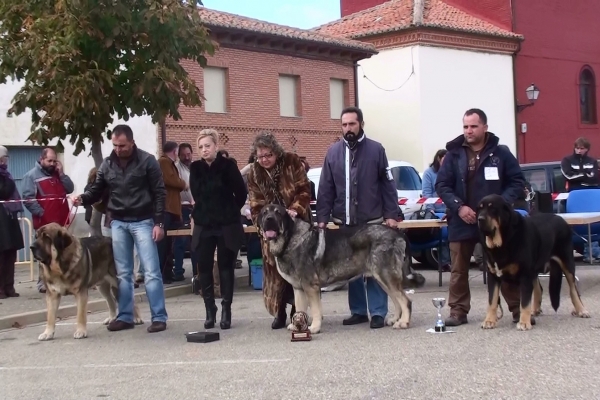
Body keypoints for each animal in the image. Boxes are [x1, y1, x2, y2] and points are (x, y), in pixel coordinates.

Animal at [255, 205, 424, 332]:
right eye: (264, 213)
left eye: (278, 212)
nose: (269, 219)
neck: (289, 239)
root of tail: (398, 234)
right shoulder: (298, 288)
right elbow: (300, 309)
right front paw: (297, 326)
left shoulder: (311, 287)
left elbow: (315, 309)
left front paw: (314, 328)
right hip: (382, 278)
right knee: (397, 300)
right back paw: (395, 319)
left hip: (386, 276)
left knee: (405, 301)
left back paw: (403, 323)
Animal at [478, 195, 592, 332]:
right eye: (480, 208)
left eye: (493, 209)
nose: (479, 219)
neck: (502, 243)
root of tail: (560, 218)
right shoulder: (493, 276)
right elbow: (492, 301)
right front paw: (489, 321)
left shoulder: (525, 275)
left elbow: (524, 302)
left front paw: (524, 322)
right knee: (539, 288)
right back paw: (535, 310)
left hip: (567, 262)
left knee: (573, 289)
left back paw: (581, 310)